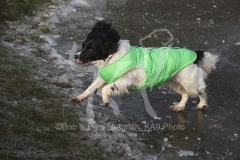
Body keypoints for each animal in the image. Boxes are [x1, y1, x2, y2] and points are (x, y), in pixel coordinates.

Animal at [70, 19, 218, 112]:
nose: (75, 56)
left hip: (189, 82)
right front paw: (79, 97)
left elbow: (106, 88)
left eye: (90, 49)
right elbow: (91, 88)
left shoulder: (126, 80)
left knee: (201, 93)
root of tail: (195, 54)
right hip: (174, 82)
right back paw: (180, 107)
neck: (113, 57)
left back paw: (202, 105)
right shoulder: (103, 78)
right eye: (83, 46)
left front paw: (106, 100)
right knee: (185, 94)